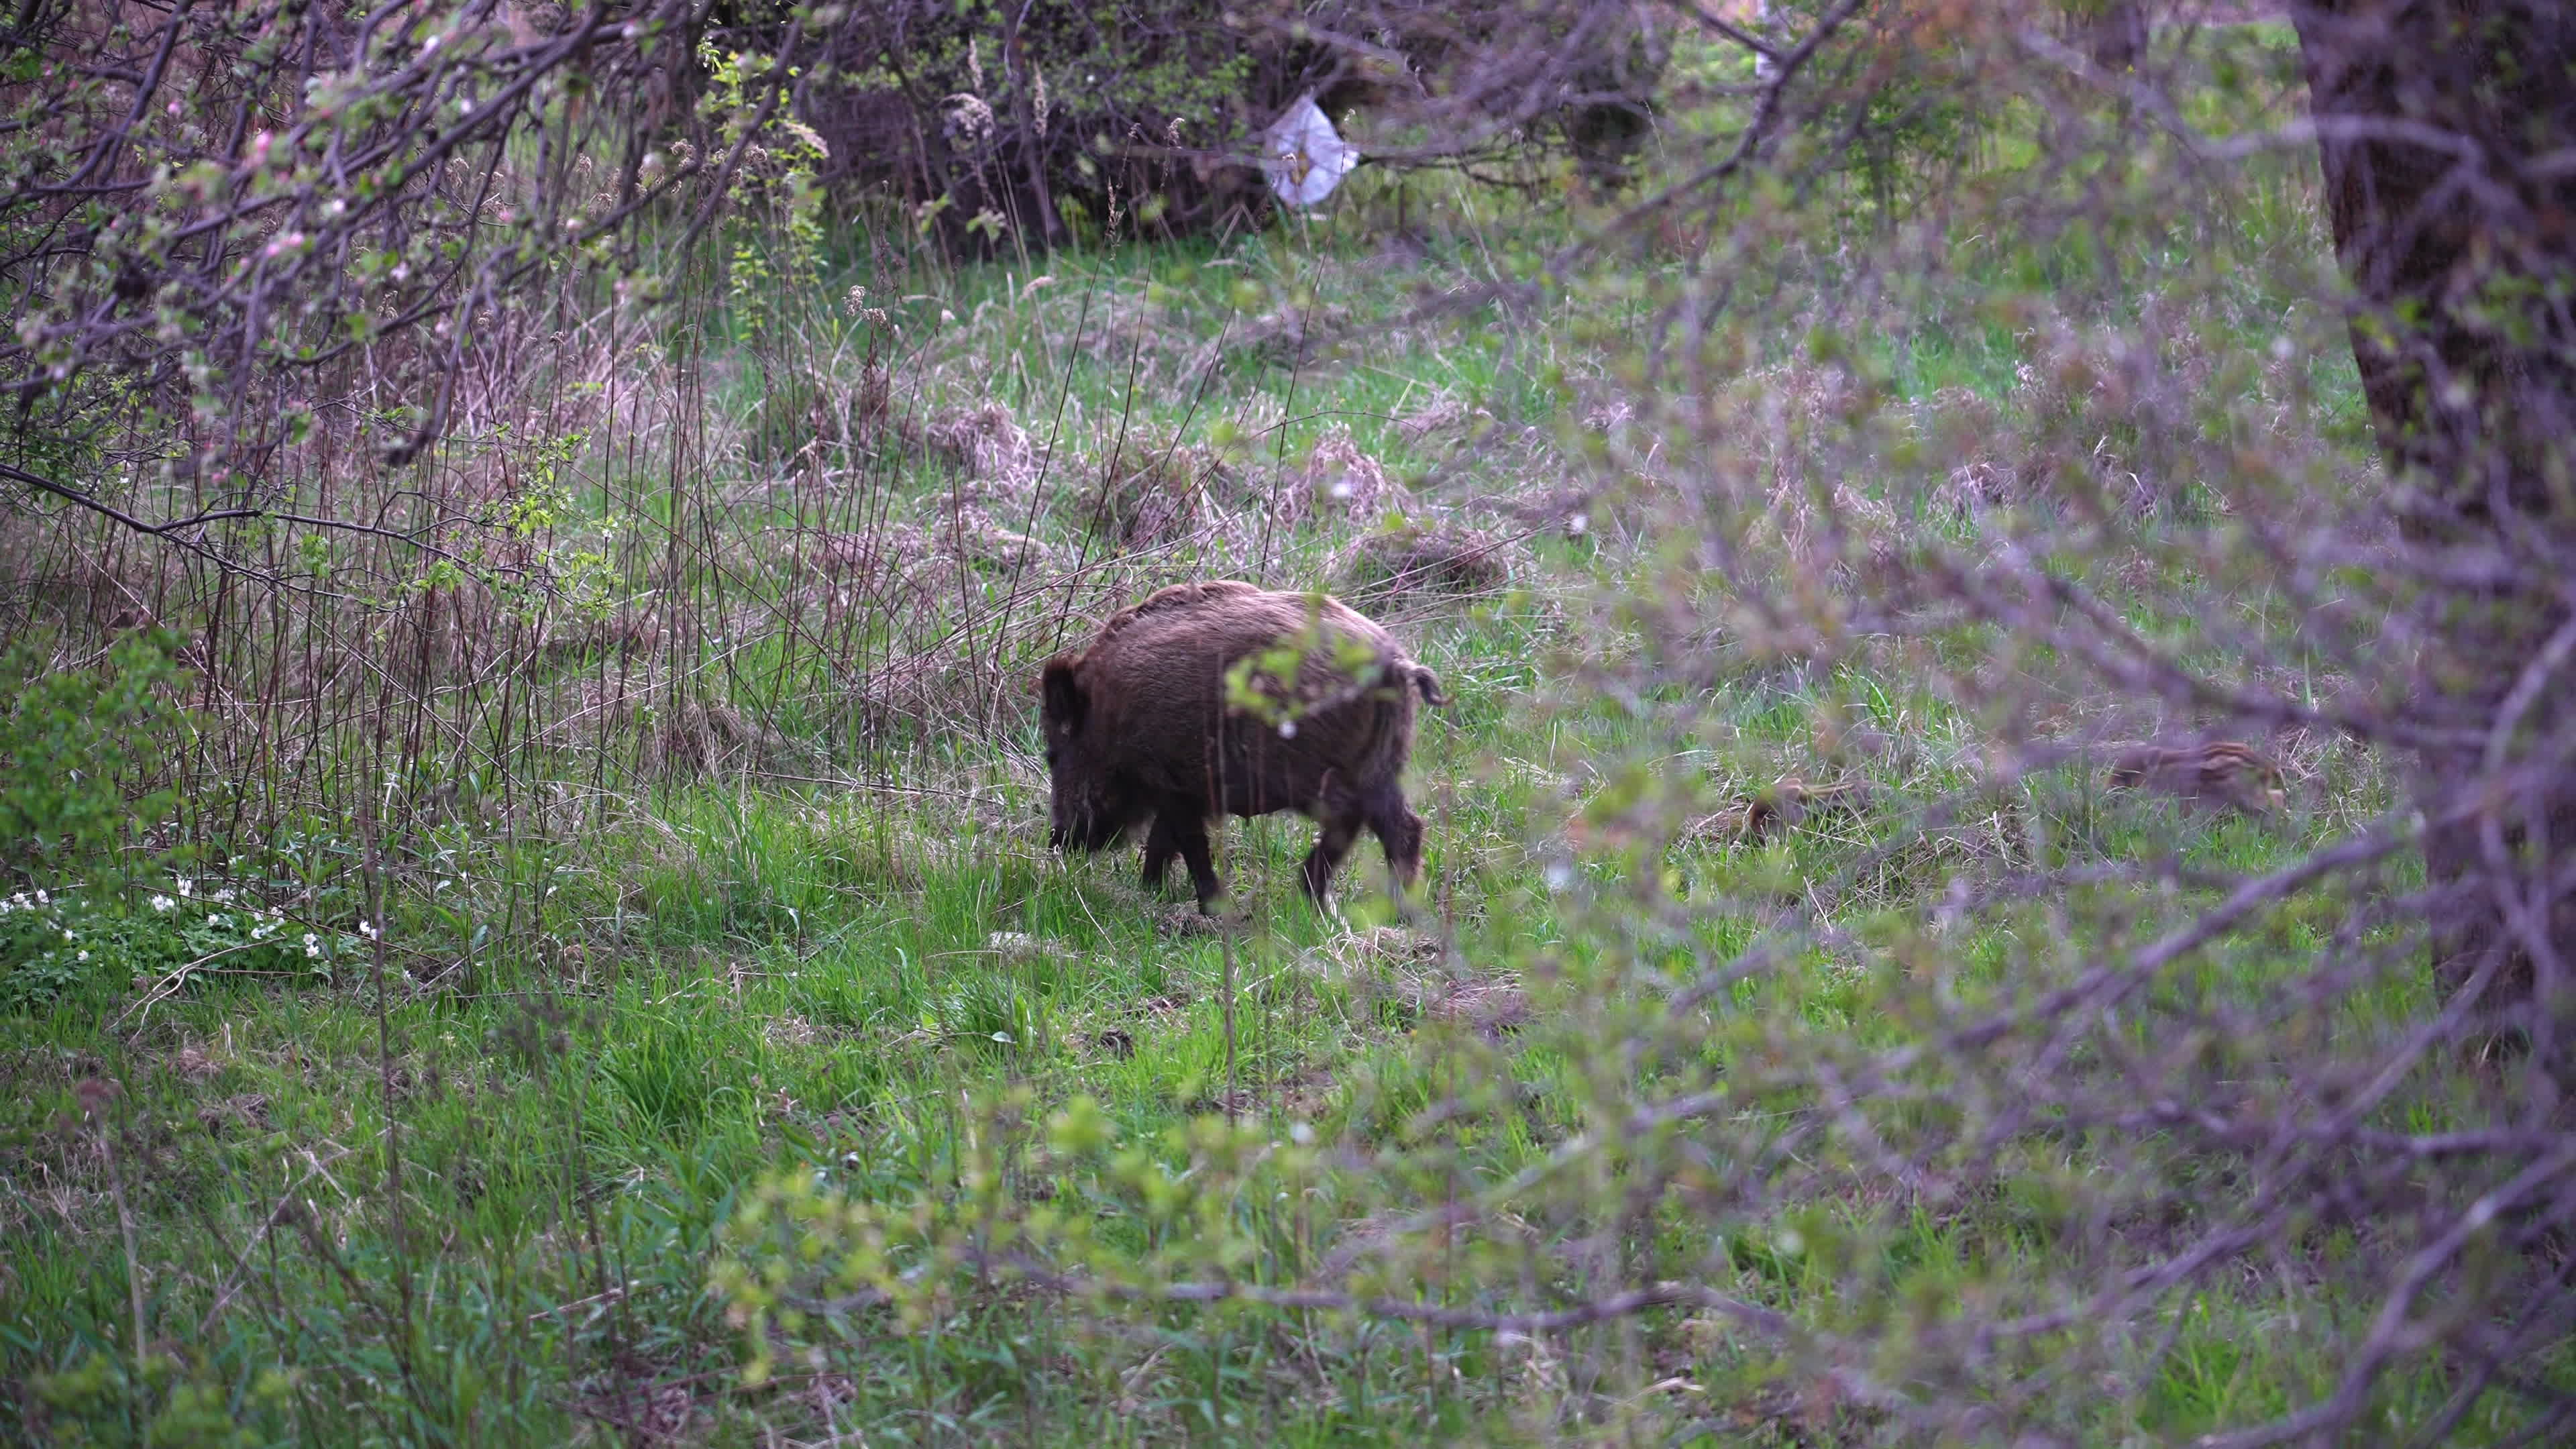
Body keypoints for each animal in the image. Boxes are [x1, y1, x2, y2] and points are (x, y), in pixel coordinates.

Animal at [1038, 580, 1447, 911]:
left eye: (1053, 756)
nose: (1057, 840)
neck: (1107, 717)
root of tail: (1396, 664)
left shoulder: (1171, 783)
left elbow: (1188, 844)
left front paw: (1210, 908)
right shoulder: (1184, 791)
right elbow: (1163, 841)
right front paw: (1150, 892)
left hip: (1308, 771)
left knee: (1353, 817)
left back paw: (1313, 896)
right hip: (1382, 763)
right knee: (1405, 827)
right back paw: (1399, 911)